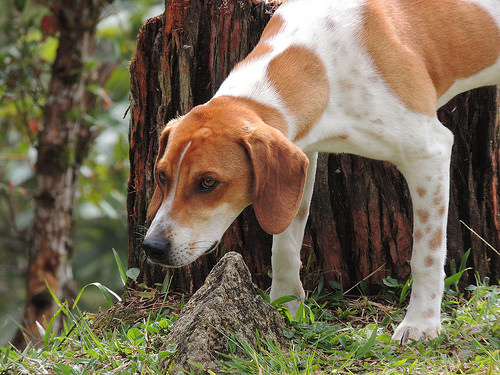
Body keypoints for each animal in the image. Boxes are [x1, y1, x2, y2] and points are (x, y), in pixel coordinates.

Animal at [141, 0, 500, 346]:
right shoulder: (302, 157)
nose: (153, 247)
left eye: (208, 182)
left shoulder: (429, 153)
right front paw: (284, 306)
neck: (321, 61)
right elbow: (284, 246)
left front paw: (421, 324)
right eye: (161, 176)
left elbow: (425, 255)